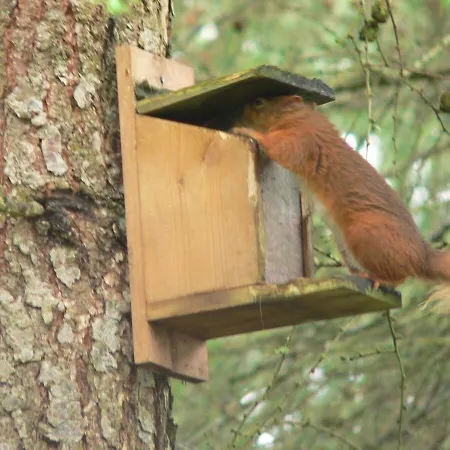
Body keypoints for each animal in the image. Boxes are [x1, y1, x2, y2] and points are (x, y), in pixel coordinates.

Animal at [232, 95, 450, 289]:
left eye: (259, 102)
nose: (238, 113)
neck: (302, 119)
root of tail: (422, 257)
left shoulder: (304, 141)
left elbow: (281, 149)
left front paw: (247, 131)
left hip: (367, 233)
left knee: (400, 276)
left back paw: (380, 279)